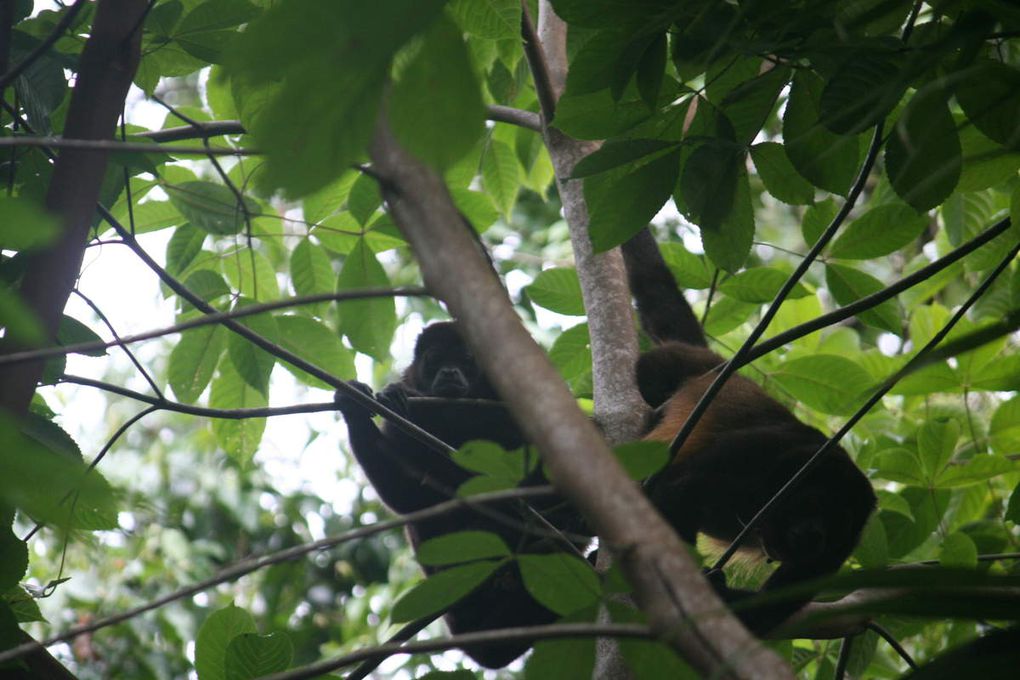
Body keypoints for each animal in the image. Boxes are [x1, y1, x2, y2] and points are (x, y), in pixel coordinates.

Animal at [620, 231, 877, 636]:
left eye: (839, 524)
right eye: (819, 506)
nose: (816, 536)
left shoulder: (844, 545)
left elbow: (763, 613)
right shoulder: (759, 454)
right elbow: (676, 491)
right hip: (681, 365)